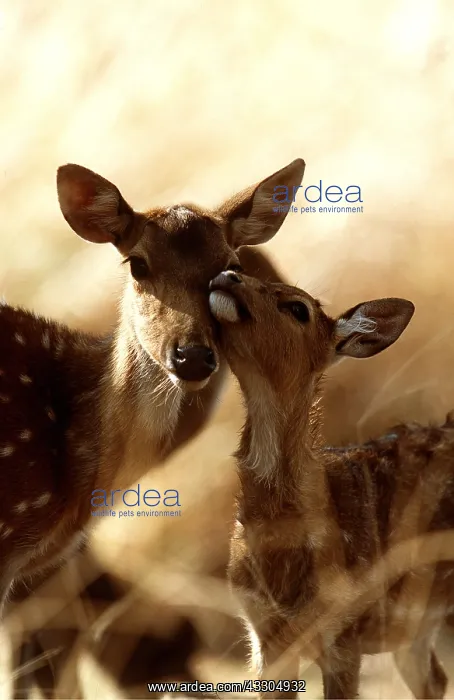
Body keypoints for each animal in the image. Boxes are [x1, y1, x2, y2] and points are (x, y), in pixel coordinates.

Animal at [208, 269, 454, 699]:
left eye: (298, 308)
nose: (227, 274)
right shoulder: (262, 630)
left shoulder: (343, 632)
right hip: (415, 626)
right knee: (433, 679)